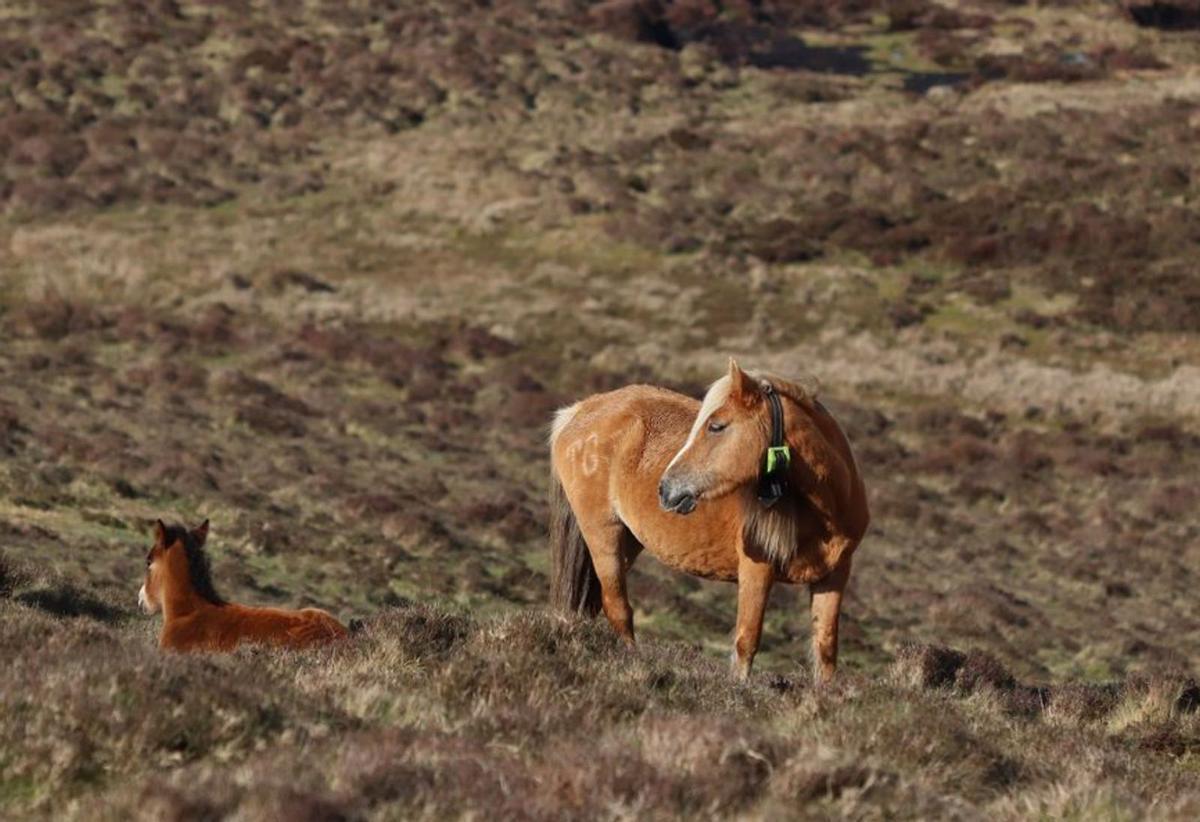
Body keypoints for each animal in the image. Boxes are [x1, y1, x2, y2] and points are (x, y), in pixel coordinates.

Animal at [549, 360, 868, 681]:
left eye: (716, 426)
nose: (666, 488)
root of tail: (578, 412)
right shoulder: (757, 569)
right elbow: (747, 640)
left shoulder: (834, 576)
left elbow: (825, 649)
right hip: (603, 535)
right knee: (618, 608)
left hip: (627, 542)